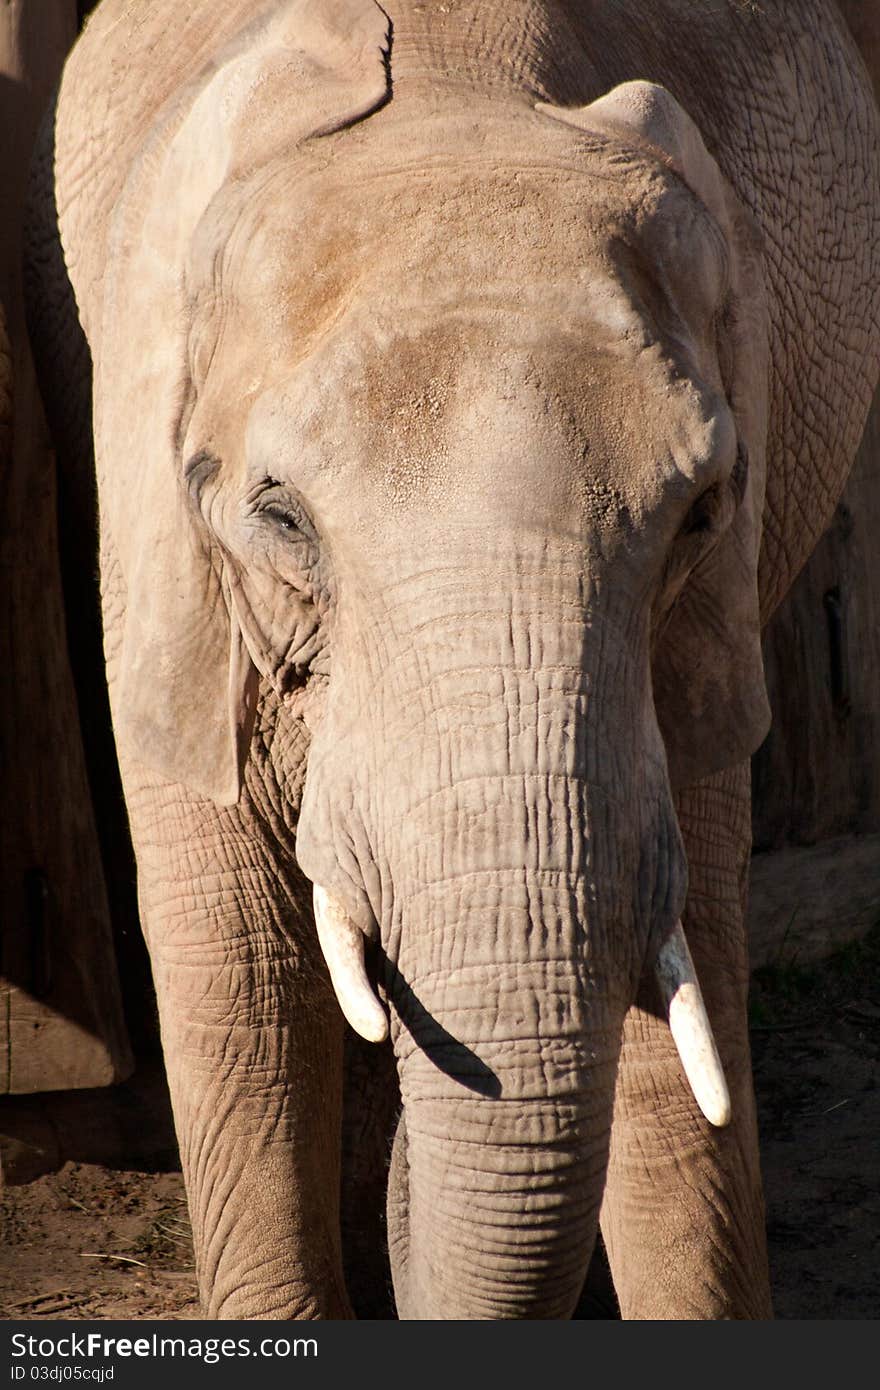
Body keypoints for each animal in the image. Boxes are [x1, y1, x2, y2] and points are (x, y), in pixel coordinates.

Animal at [23, 0, 873, 1317]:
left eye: (699, 514)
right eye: (279, 517)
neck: (444, 97)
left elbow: (671, 1026)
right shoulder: (154, 541)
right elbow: (240, 988)